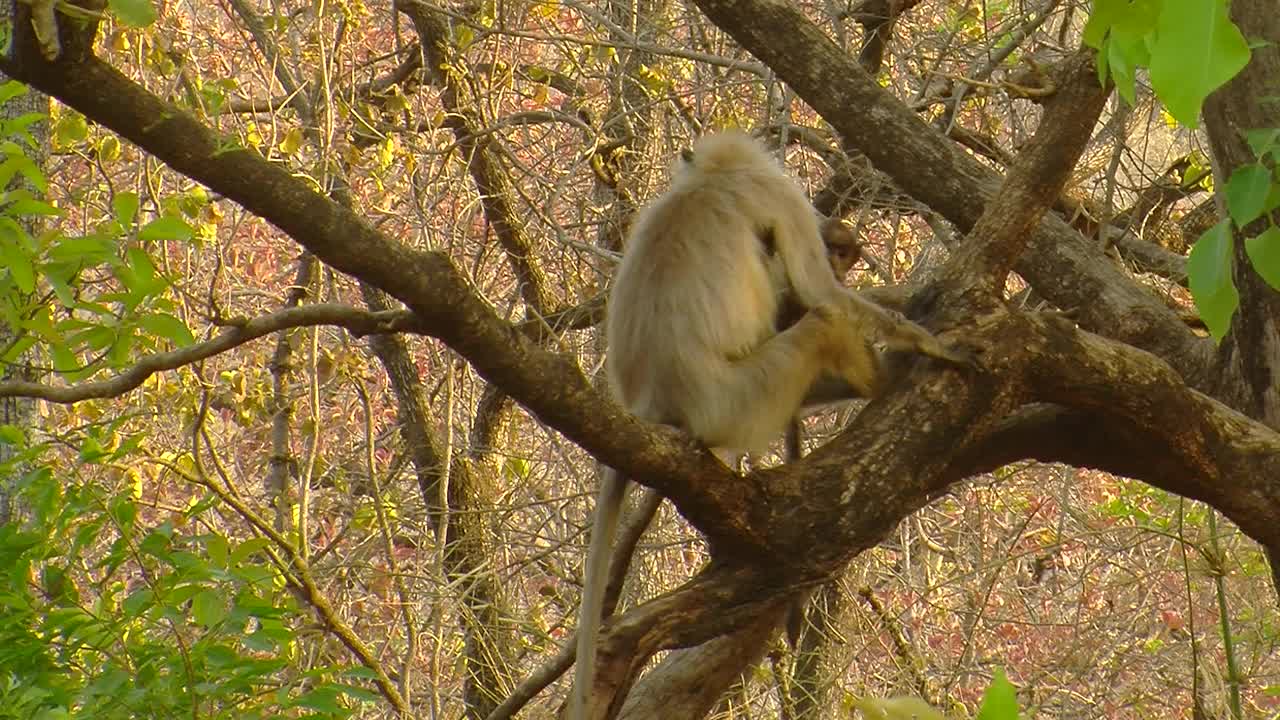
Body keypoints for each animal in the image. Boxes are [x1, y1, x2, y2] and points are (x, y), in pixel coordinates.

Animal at [573, 130, 967, 717]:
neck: (713, 177)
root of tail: (651, 403)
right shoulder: (777, 194)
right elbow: (819, 290)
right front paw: (920, 338)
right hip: (741, 398)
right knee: (821, 319)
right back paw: (879, 378)